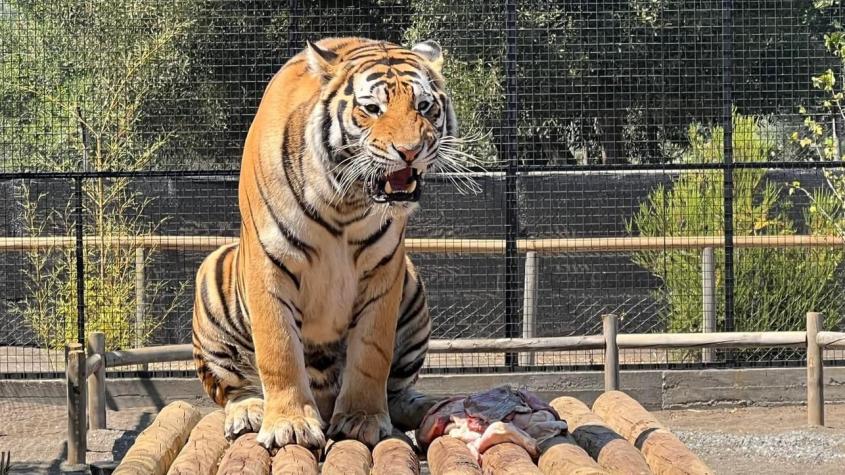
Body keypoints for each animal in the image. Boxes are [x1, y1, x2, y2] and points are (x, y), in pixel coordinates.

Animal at [191, 35, 458, 452]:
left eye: (424, 106)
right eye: (372, 108)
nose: (410, 151)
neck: (345, 200)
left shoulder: (385, 268)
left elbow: (372, 353)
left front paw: (362, 420)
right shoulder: (268, 262)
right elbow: (279, 349)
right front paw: (289, 425)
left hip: (413, 288)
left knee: (398, 392)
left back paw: (434, 407)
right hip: (213, 274)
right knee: (234, 386)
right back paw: (248, 411)